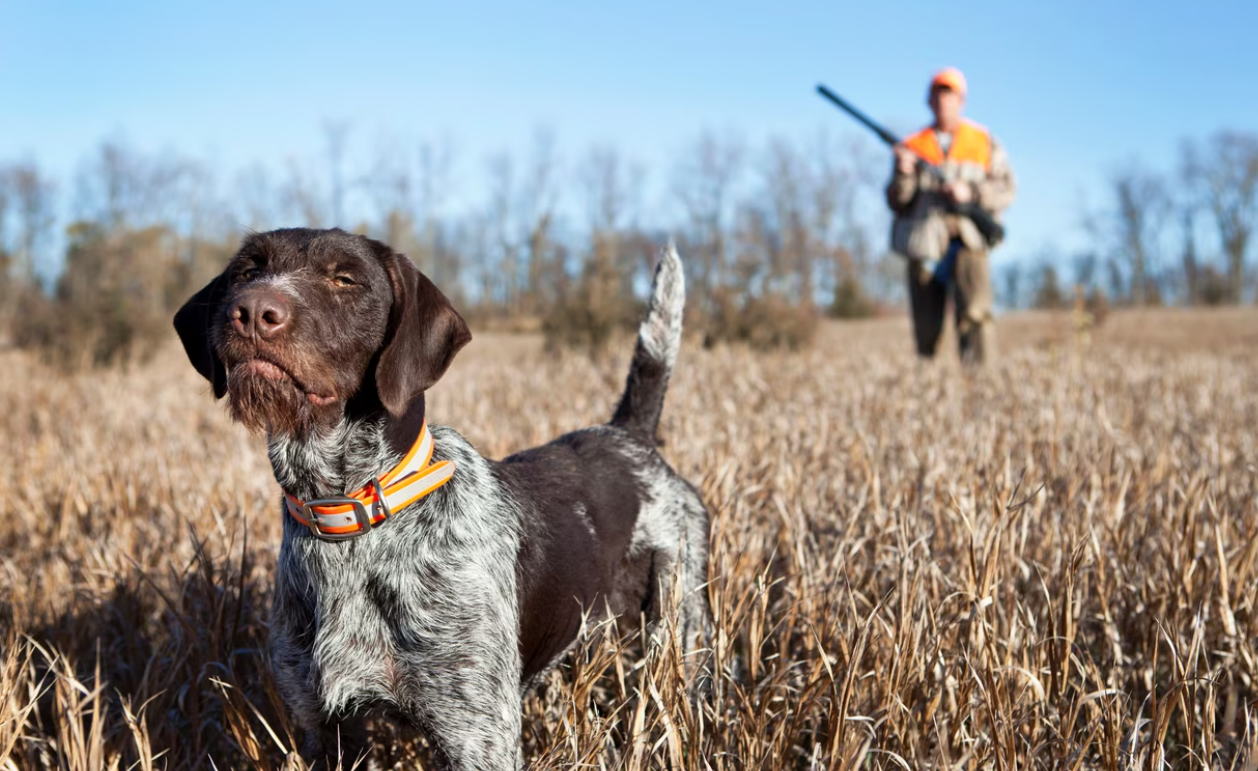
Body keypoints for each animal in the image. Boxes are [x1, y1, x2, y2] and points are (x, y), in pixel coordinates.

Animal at [172, 228, 714, 769]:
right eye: (247, 271)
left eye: (345, 279)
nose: (251, 311)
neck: (348, 516)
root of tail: (629, 436)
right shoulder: (324, 728)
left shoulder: (477, 739)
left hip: (681, 629)